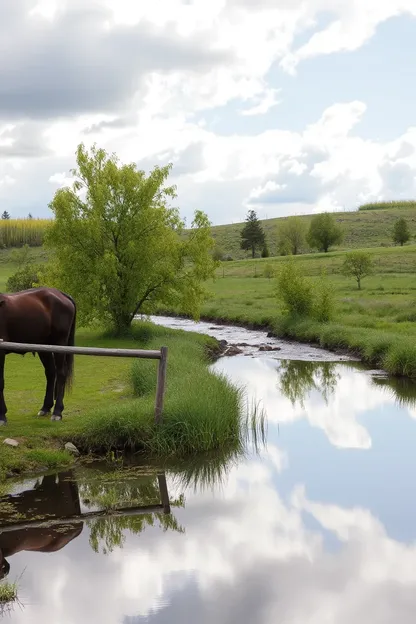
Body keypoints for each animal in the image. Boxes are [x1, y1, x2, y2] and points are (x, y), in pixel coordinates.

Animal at [0, 288, 76, 424]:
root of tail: (61, 294)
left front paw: (2, 416)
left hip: (60, 343)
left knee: (61, 372)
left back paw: (57, 412)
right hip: (44, 347)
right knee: (51, 373)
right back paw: (46, 407)